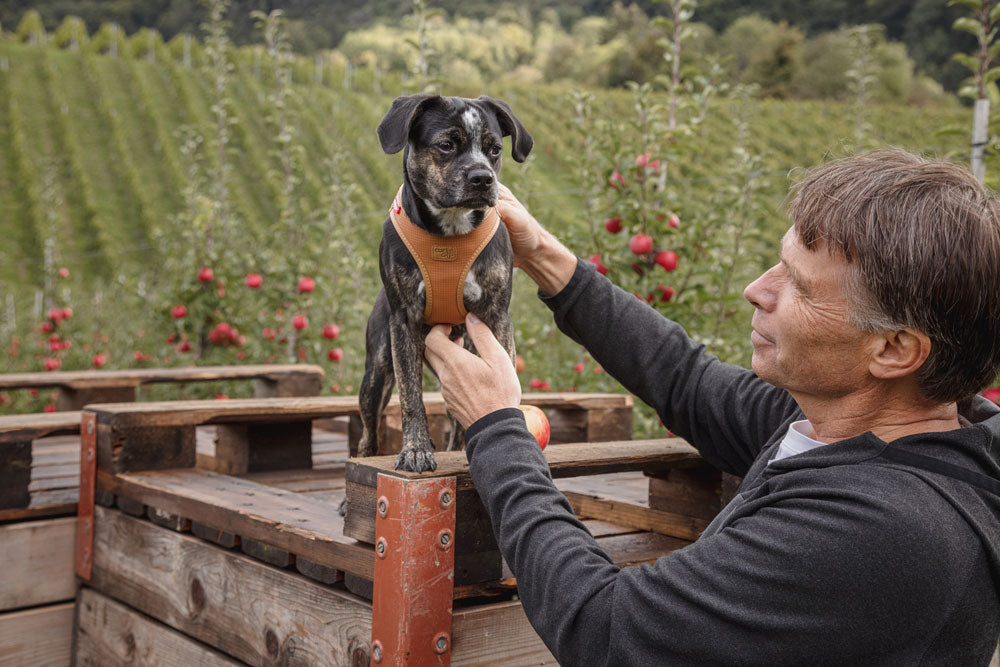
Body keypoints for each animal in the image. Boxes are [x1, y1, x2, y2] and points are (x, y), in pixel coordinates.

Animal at [358, 94, 536, 474]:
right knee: (368, 433)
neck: (450, 232)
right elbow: (411, 396)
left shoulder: (497, 317)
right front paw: (415, 449)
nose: (483, 178)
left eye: (495, 149)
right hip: (376, 371)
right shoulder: (403, 322)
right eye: (446, 145)